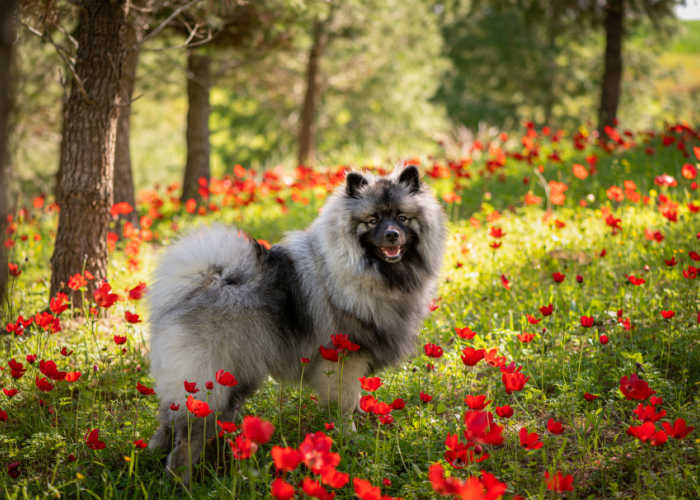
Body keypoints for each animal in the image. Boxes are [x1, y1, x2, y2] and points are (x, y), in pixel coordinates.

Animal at [147, 165, 446, 476]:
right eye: (372, 220)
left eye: (402, 218)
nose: (392, 235)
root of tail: (197, 287)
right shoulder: (343, 360)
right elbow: (345, 403)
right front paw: (348, 436)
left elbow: (357, 400)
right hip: (207, 385)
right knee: (185, 439)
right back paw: (181, 477)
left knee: (168, 420)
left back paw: (157, 454)